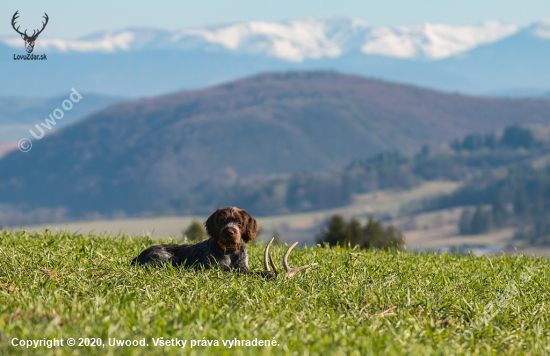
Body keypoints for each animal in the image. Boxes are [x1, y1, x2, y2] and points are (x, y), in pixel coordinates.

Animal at [132, 206, 320, 278]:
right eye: (222, 220)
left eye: (239, 221)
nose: (230, 232)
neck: (230, 251)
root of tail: (137, 257)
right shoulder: (215, 267)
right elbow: (238, 271)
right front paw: (267, 274)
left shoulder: (244, 265)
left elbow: (246, 270)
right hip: (167, 259)